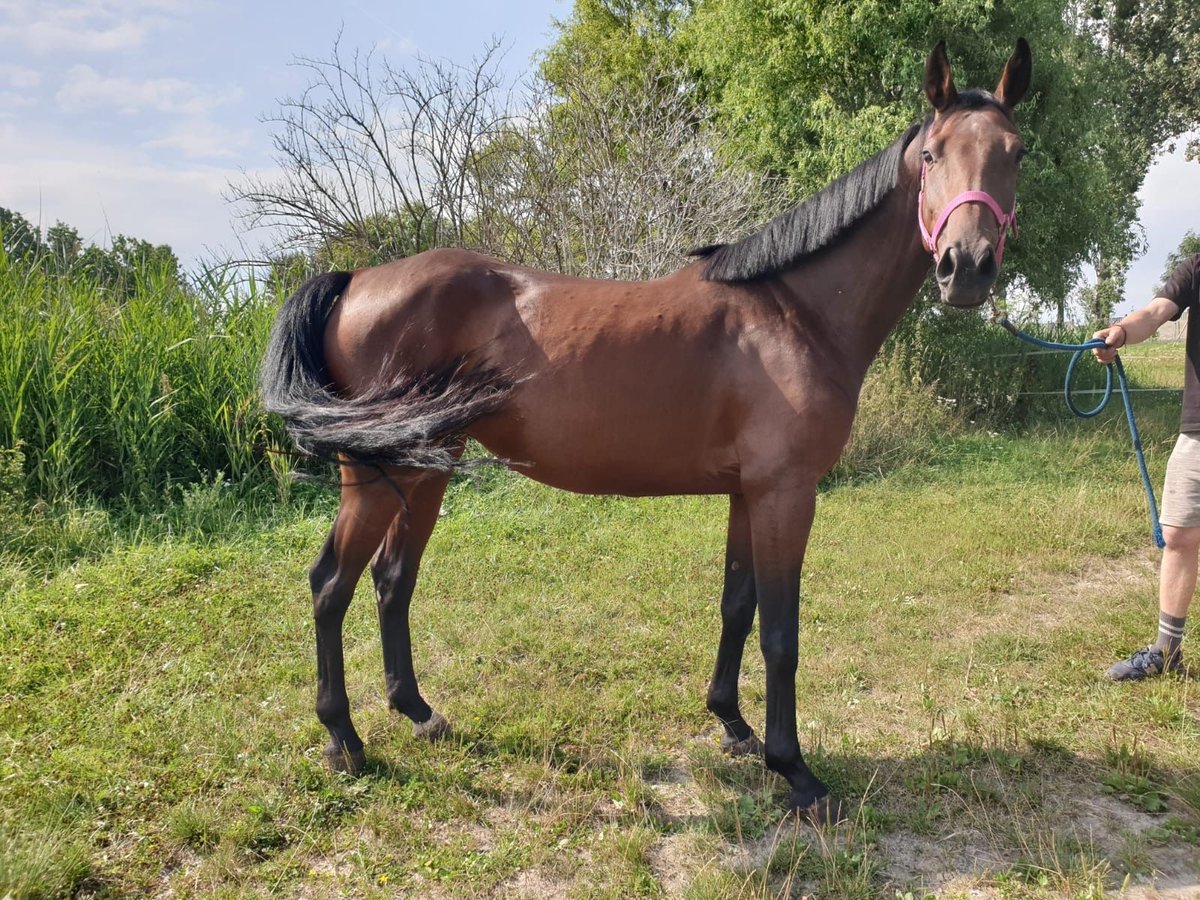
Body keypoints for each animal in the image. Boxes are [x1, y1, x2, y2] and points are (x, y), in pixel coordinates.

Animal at [262, 38, 1032, 820]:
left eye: (1016, 152)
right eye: (932, 154)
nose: (967, 267)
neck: (795, 313)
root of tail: (355, 280)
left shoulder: (748, 494)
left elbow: (737, 606)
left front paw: (733, 724)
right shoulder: (787, 493)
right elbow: (781, 634)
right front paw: (795, 771)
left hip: (426, 465)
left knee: (392, 580)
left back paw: (419, 714)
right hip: (377, 475)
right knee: (331, 584)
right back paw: (344, 741)